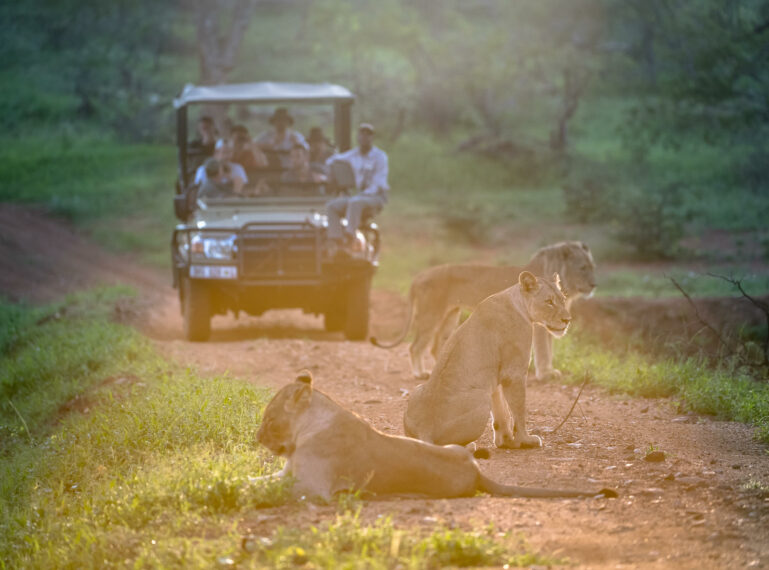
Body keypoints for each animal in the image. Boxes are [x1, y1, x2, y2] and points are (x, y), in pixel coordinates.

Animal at [255, 368, 616, 496]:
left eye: (269, 420)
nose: (257, 439)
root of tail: (475, 471)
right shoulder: (290, 475)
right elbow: (255, 480)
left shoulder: (310, 488)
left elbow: (258, 489)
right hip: (456, 448)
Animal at [404, 270, 568, 448]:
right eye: (549, 302)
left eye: (563, 300)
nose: (567, 320)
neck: (518, 303)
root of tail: (425, 428)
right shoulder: (514, 373)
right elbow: (518, 411)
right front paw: (525, 440)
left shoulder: (495, 377)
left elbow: (501, 411)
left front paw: (505, 441)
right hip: (482, 399)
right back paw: (469, 446)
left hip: (418, 390)